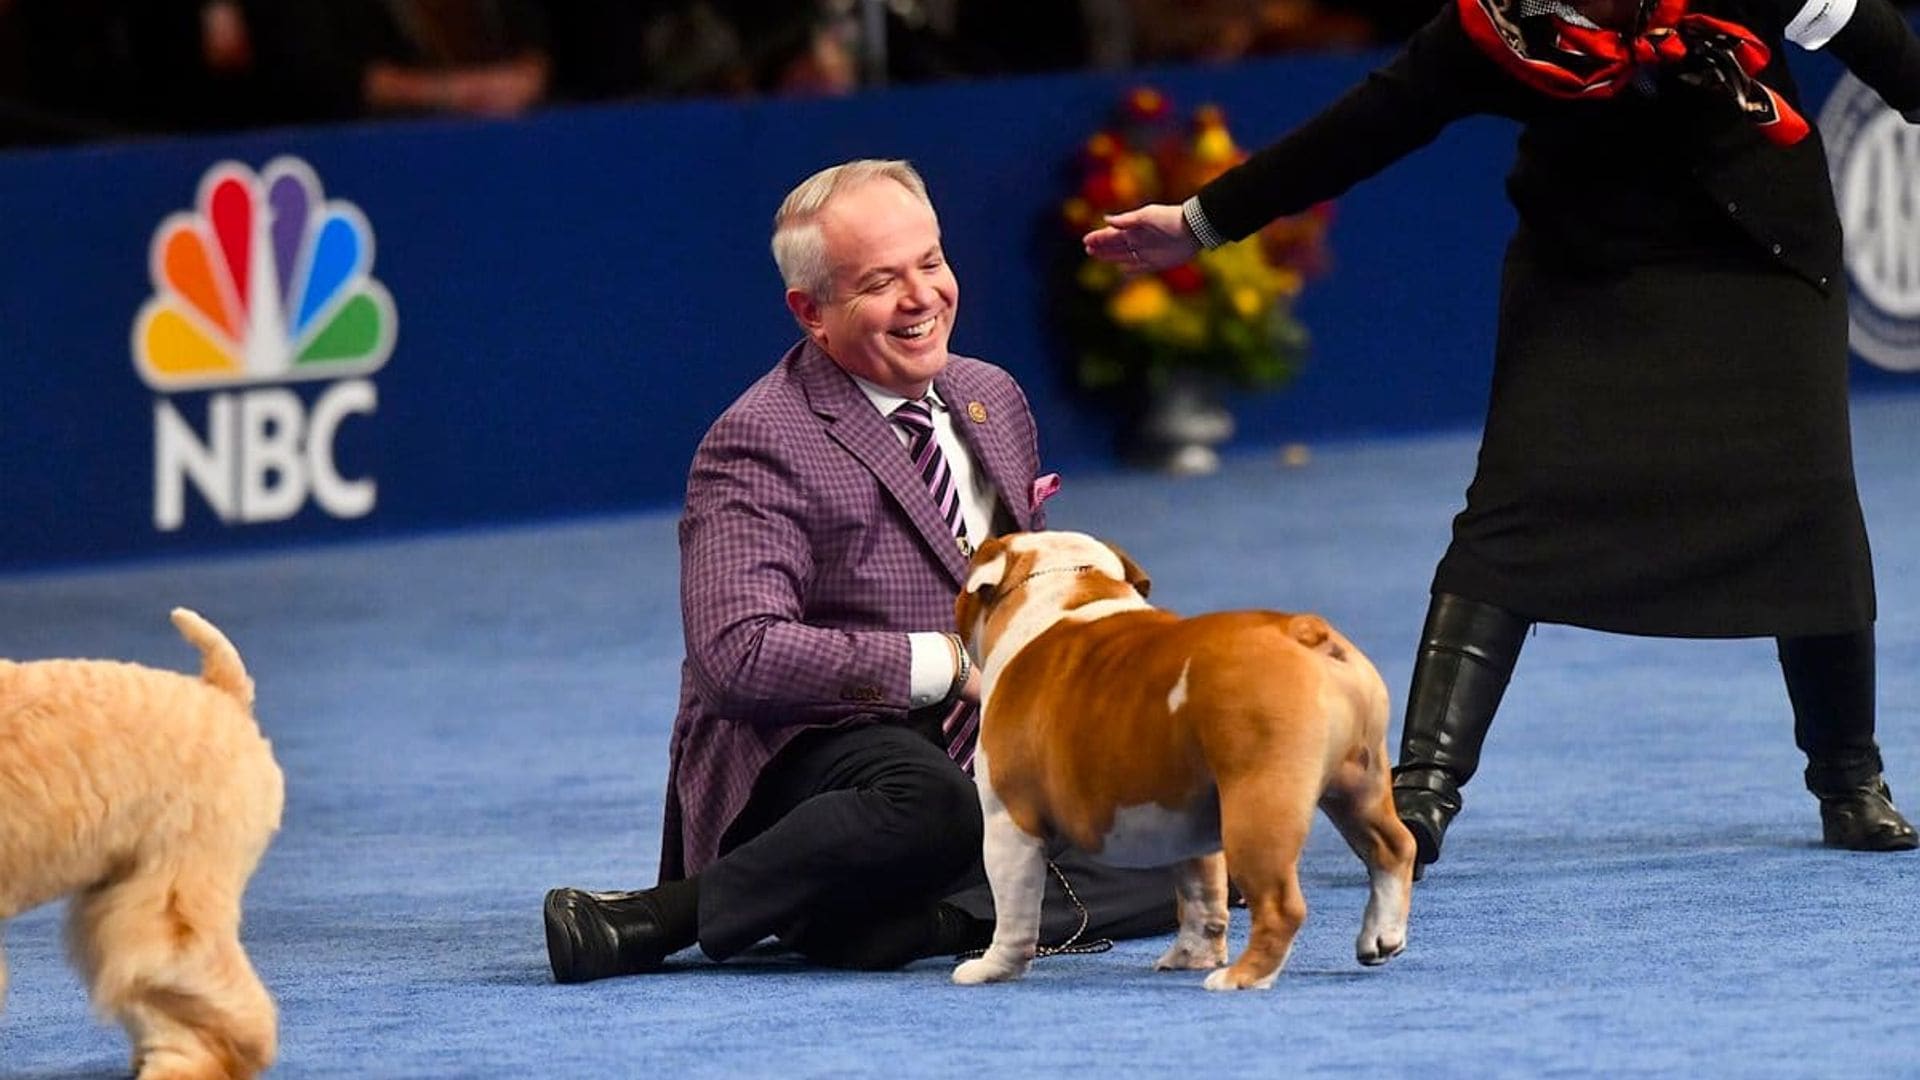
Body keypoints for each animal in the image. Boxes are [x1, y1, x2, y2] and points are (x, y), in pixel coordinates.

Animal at [952, 530, 1420, 991]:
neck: (1069, 586)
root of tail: (1305, 632)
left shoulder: (1009, 824)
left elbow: (1014, 911)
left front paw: (994, 967)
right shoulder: (1183, 821)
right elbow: (1201, 896)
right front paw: (1191, 956)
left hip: (1258, 808)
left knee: (1281, 905)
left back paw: (1242, 977)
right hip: (1359, 787)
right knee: (1392, 847)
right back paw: (1380, 937)